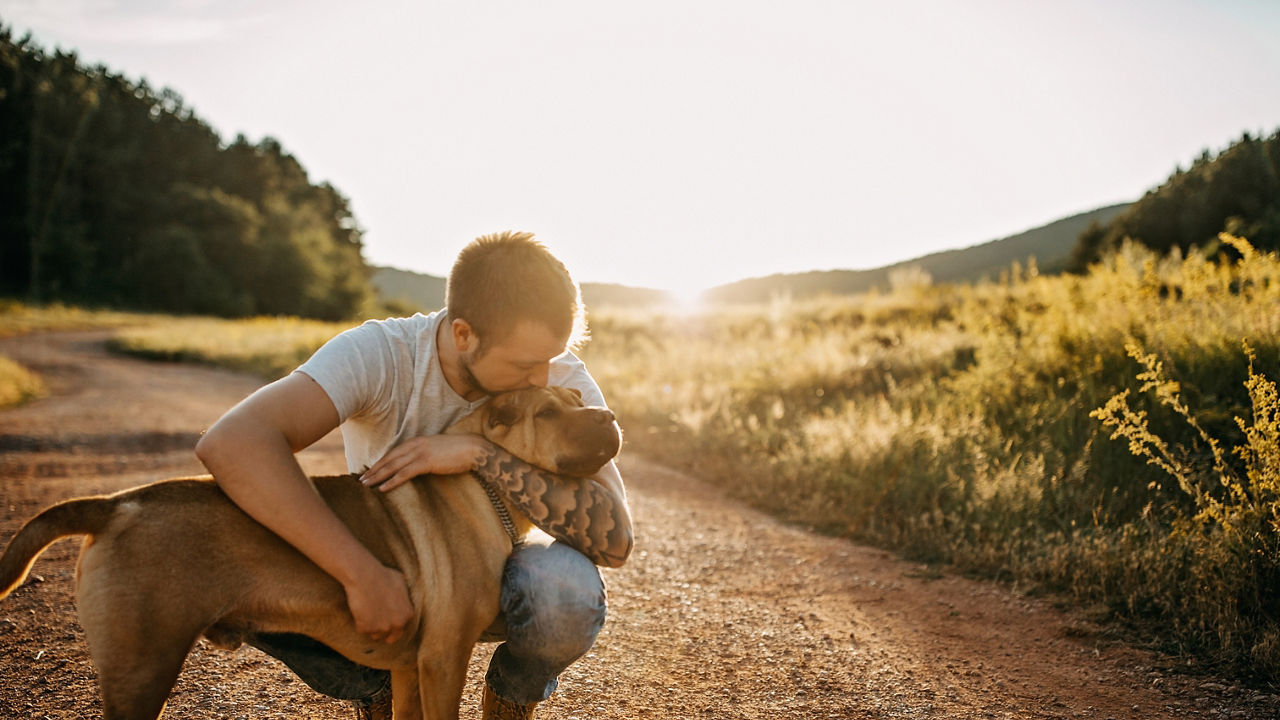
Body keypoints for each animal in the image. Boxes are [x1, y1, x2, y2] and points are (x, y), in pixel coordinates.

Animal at [0, 386, 619, 717]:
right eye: (548, 413)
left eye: (578, 398)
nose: (609, 415)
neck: (482, 485)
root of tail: (116, 503)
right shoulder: (444, 659)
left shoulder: (411, 666)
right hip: (142, 669)